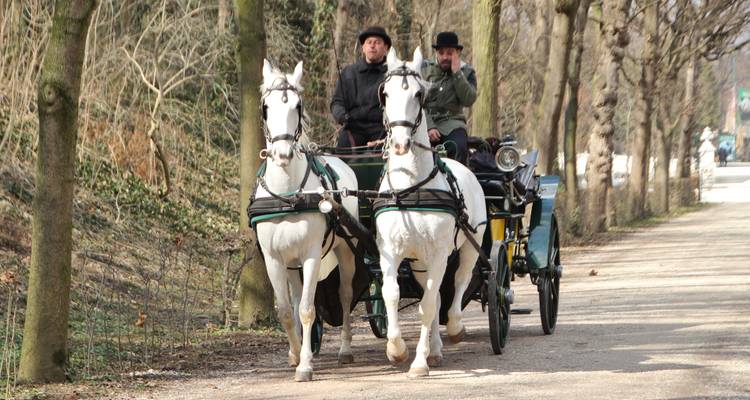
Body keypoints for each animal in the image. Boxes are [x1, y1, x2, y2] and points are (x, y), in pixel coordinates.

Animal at [250, 60, 359, 382]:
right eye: (266, 107)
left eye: (297, 106)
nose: (283, 154)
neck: (287, 195)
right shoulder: (274, 259)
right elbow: (287, 311)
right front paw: (296, 353)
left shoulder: (311, 255)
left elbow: (309, 310)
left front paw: (306, 365)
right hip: (291, 264)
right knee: (297, 299)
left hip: (345, 250)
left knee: (345, 294)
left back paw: (345, 350)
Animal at [374, 47, 487, 377]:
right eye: (385, 93)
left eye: (418, 93)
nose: (400, 144)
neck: (411, 188)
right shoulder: (390, 252)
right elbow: (392, 294)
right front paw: (396, 349)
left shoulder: (439, 253)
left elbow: (426, 306)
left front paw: (418, 363)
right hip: (421, 262)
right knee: (434, 295)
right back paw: (436, 349)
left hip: (468, 248)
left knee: (458, 283)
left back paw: (454, 329)